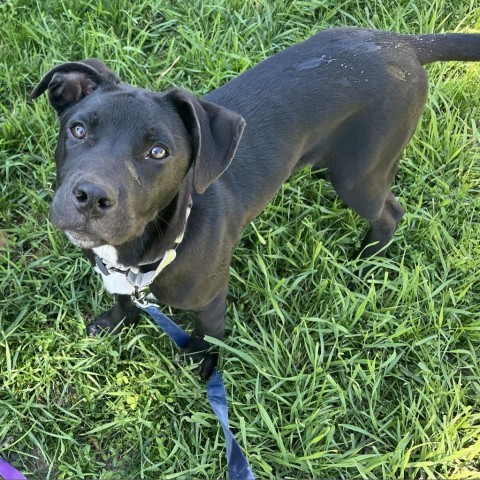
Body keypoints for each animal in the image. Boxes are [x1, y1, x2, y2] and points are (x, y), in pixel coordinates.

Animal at [31, 28, 480, 378]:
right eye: (78, 130)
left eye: (158, 152)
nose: (91, 197)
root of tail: (400, 43)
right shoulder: (119, 278)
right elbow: (123, 299)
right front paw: (113, 323)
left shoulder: (212, 301)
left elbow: (209, 336)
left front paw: (200, 362)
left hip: (360, 176)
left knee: (391, 213)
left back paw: (366, 260)